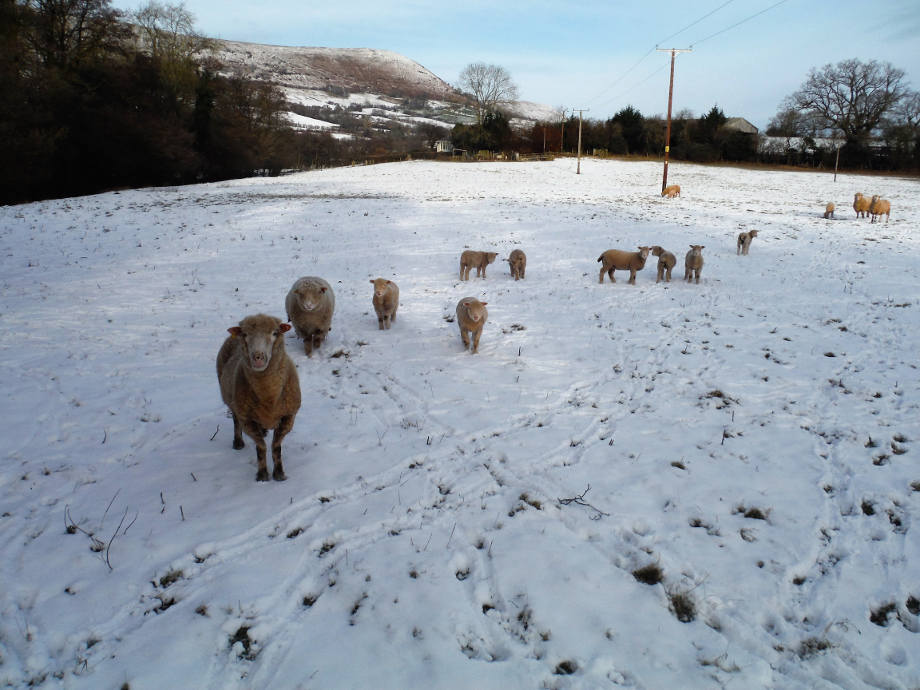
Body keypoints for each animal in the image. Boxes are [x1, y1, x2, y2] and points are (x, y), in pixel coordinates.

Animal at [216, 314, 302, 482]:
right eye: (245, 334)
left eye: (275, 333)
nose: (258, 357)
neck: (268, 397)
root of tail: (231, 337)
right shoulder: (247, 419)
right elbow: (261, 447)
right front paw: (262, 475)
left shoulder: (289, 416)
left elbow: (275, 446)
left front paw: (279, 474)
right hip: (233, 404)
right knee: (235, 421)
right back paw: (238, 442)